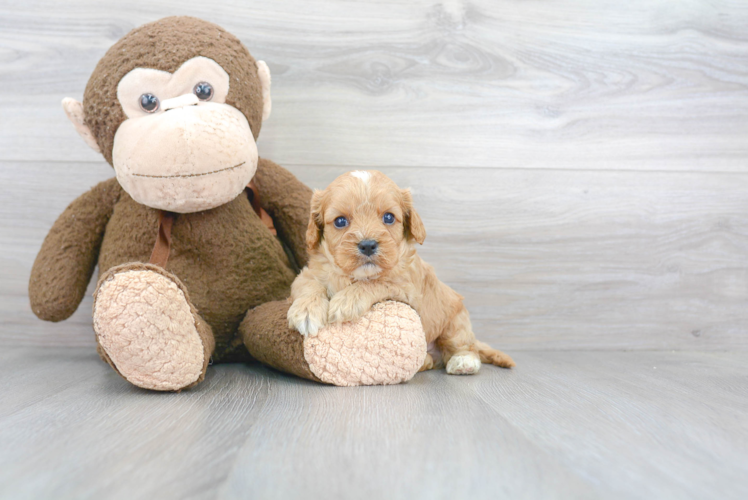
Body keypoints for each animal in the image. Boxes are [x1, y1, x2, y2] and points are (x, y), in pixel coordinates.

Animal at [286, 170, 516, 374]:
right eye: (340, 221)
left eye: (388, 217)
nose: (368, 245)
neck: (355, 275)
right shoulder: (307, 274)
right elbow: (309, 285)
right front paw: (306, 312)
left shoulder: (406, 289)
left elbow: (376, 283)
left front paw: (346, 301)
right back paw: (426, 360)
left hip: (455, 319)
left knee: (464, 345)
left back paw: (463, 362)